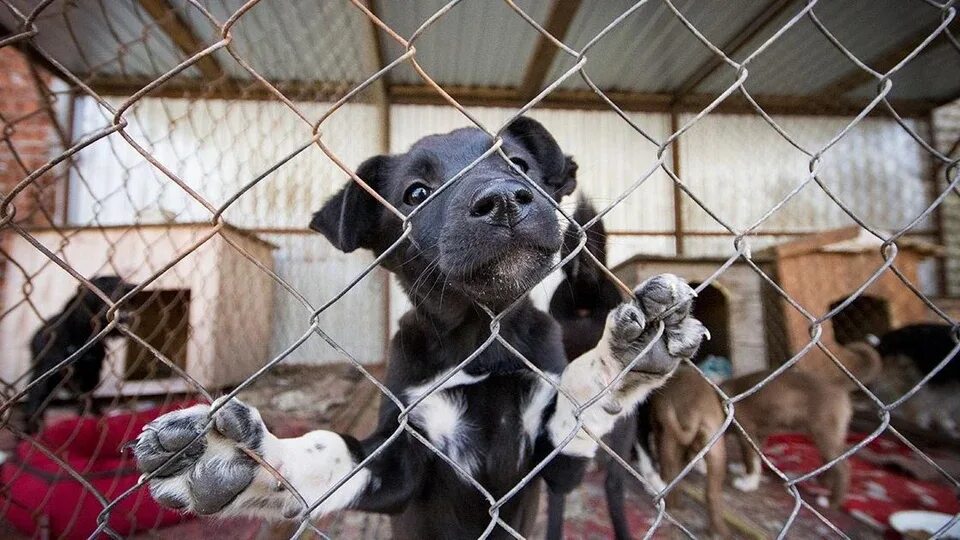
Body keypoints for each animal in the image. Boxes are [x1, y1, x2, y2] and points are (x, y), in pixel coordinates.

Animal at [23, 276, 135, 436]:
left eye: (122, 282)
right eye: (106, 287)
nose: (132, 287)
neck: (82, 336)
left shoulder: (91, 375)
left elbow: (87, 401)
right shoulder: (45, 373)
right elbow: (36, 400)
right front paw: (32, 429)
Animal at [131, 117, 704, 536]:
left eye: (518, 164)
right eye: (416, 193)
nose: (503, 201)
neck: (481, 339)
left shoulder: (555, 466)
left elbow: (581, 399)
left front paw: (626, 353)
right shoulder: (401, 462)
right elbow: (331, 452)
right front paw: (243, 461)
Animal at [652, 364, 728, 536]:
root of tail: (697, 411)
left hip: (670, 440)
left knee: (671, 473)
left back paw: (673, 505)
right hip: (717, 452)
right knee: (712, 493)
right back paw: (718, 530)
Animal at [720, 344, 876, 508]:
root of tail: (837, 385)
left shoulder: (747, 432)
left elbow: (751, 460)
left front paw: (748, 483)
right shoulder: (758, 435)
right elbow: (754, 457)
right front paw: (742, 469)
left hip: (825, 435)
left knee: (843, 468)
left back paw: (830, 502)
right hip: (824, 436)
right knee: (831, 461)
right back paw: (822, 481)